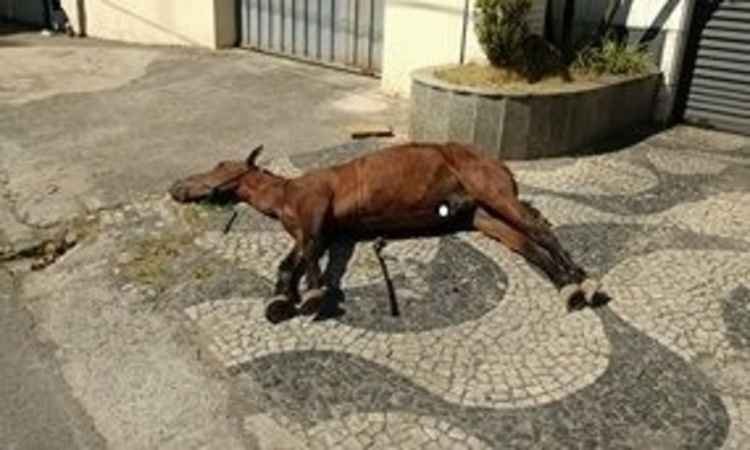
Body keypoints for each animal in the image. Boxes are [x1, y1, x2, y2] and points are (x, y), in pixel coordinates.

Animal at [169, 142, 601, 323]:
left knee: (540, 232)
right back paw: (568, 286)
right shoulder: (319, 232)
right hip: (483, 216)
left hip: (493, 194)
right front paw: (280, 299)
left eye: (219, 164)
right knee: (529, 244)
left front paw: (311, 295)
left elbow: (307, 258)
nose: (175, 187)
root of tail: (498, 164)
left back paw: (584, 281)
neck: (287, 193)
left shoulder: (315, 214)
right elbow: (288, 262)